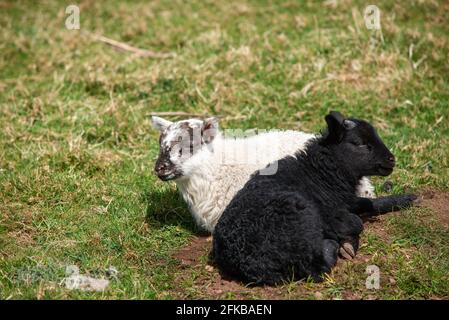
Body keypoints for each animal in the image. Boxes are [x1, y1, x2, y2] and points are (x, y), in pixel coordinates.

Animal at [213, 112, 416, 284]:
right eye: (359, 142)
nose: (391, 159)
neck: (319, 172)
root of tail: (250, 265)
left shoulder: (346, 201)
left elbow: (368, 203)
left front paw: (406, 199)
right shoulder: (331, 211)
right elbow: (357, 220)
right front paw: (347, 243)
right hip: (302, 221)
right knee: (317, 269)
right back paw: (332, 244)